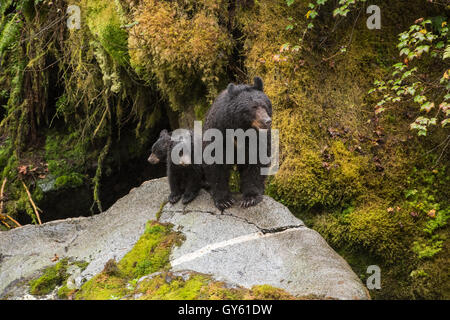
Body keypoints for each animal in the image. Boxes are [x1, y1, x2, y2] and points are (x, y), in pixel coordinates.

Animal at [202, 77, 272, 211]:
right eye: (253, 107)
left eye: (265, 106)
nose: (267, 121)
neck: (241, 129)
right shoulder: (219, 132)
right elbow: (216, 164)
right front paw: (224, 200)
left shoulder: (258, 139)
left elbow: (256, 163)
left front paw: (250, 198)